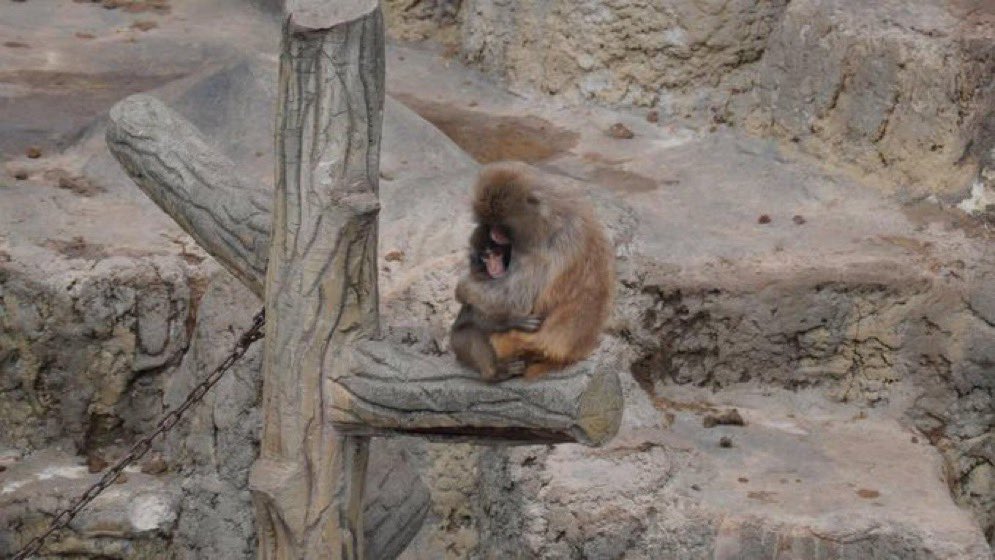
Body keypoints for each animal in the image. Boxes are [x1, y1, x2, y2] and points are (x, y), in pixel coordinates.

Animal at [450, 160, 615, 380]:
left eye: (501, 225)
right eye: (490, 223)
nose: (494, 234)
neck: (551, 215)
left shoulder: (543, 247)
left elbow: (516, 299)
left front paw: (463, 287)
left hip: (509, 342)